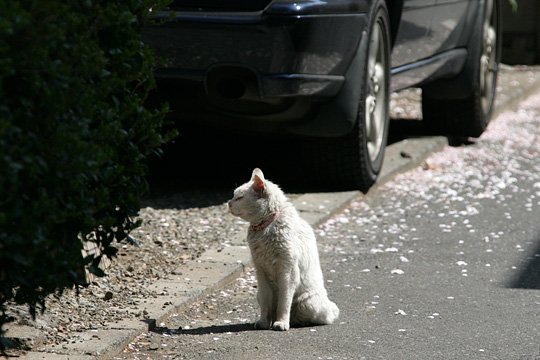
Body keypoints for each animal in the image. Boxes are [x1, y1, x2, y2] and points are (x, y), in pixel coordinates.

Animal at [227, 167, 338, 330]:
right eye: (234, 195)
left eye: (239, 198)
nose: (228, 203)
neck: (264, 228)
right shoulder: (261, 271)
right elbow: (266, 303)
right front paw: (264, 322)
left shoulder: (288, 271)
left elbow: (284, 302)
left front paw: (281, 323)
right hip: (258, 293)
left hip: (308, 302)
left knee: (320, 317)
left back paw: (295, 322)